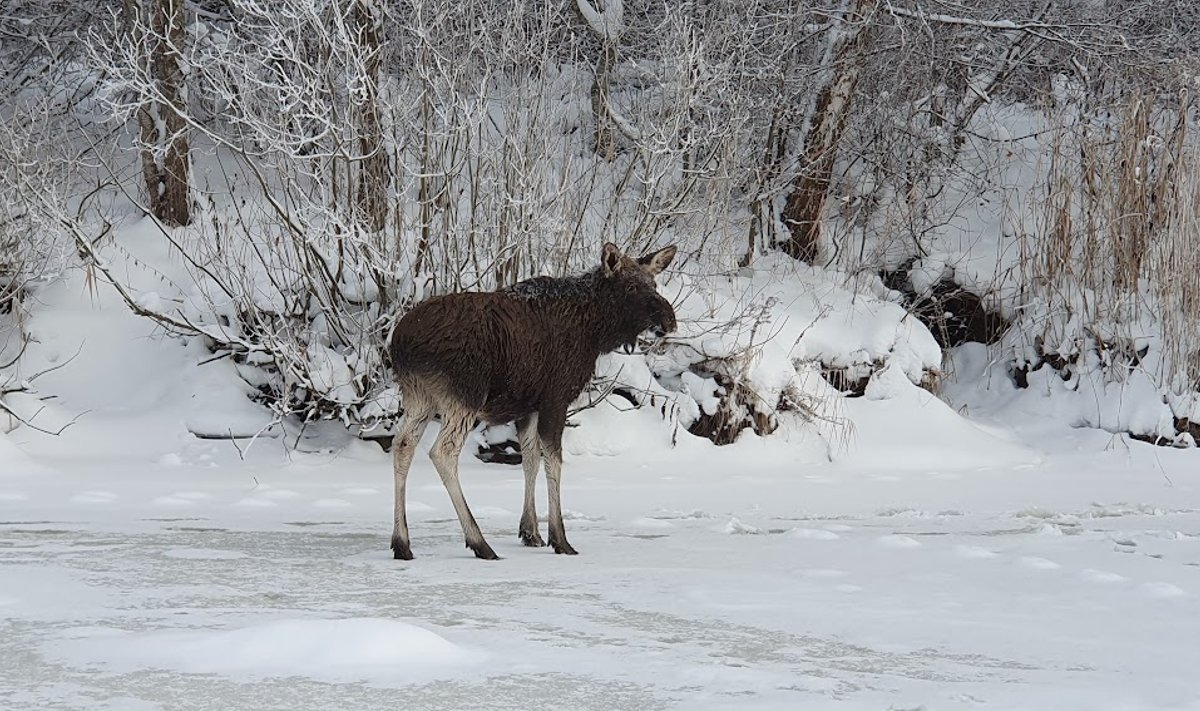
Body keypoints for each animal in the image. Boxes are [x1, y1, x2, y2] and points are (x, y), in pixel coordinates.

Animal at [391, 241, 681, 557]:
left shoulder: (528, 406)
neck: (594, 332)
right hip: (464, 395)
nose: (669, 320)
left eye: (653, 283)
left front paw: (530, 531)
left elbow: (530, 459)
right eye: (630, 286)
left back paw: (401, 542)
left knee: (402, 445)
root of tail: (399, 343)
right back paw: (479, 542)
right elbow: (553, 461)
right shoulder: (556, 398)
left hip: (420, 398)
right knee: (442, 452)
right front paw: (560, 538)